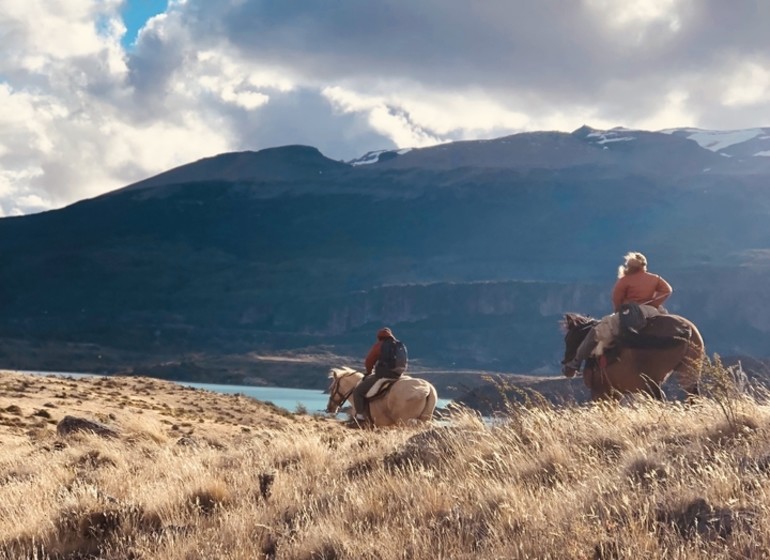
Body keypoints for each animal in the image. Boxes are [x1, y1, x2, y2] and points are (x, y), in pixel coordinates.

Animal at [560, 312, 704, 400]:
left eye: (568, 339)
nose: (566, 369)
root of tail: (685, 329)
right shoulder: (614, 393)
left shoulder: (600, 392)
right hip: (688, 371)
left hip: (652, 382)